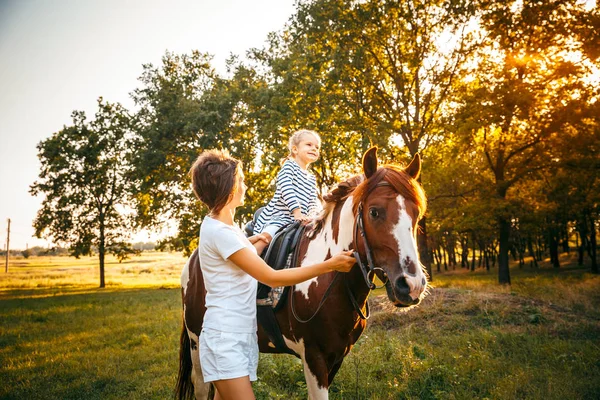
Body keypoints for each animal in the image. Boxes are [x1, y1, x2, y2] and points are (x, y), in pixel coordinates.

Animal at [176, 147, 428, 400]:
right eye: (374, 212)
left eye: (416, 213)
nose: (412, 285)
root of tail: (193, 259)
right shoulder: (314, 357)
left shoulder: (337, 356)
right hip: (197, 344)